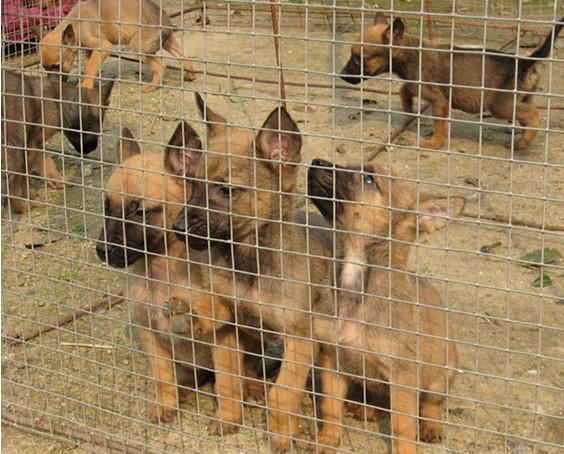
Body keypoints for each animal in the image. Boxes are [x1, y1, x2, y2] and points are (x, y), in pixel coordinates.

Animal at [1, 69, 114, 215]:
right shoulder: (30, 144)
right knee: (11, 178)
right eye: (98, 125)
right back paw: (21, 206)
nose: (91, 149)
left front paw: (57, 180)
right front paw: (25, 196)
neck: (58, 101)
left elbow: (46, 161)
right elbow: (24, 176)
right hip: (13, 147)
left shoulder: (35, 143)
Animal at [40, 0, 195, 92]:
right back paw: (190, 75)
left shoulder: (103, 46)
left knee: (161, 65)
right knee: (183, 55)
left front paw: (85, 86)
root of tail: (165, 20)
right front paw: (88, 82)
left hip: (139, 46)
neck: (77, 23)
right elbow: (89, 66)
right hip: (167, 42)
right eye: (44, 68)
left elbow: (90, 67)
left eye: (57, 66)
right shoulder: (90, 50)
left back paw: (152, 86)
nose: (51, 86)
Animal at [170, 94, 332, 446]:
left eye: (226, 191)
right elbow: (228, 379)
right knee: (251, 367)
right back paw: (253, 388)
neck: (249, 264)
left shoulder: (300, 339)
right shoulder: (229, 326)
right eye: (193, 183)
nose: (178, 229)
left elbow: (283, 394)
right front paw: (229, 419)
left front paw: (282, 437)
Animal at [310, 158, 464, 452]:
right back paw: (366, 408)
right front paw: (327, 440)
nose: (316, 161)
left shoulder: (404, 376)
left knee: (431, 405)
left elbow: (403, 428)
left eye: (369, 178)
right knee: (380, 398)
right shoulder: (332, 359)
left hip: (440, 377)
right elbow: (330, 408)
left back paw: (430, 426)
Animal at [342, 12, 560, 149]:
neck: (410, 52)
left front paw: (434, 143)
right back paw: (523, 139)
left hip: (499, 105)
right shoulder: (421, 88)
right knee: (527, 116)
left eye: (359, 58)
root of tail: (525, 61)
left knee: (533, 114)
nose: (342, 75)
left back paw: (522, 144)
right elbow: (404, 90)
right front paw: (408, 109)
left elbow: (439, 125)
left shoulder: (438, 100)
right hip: (523, 98)